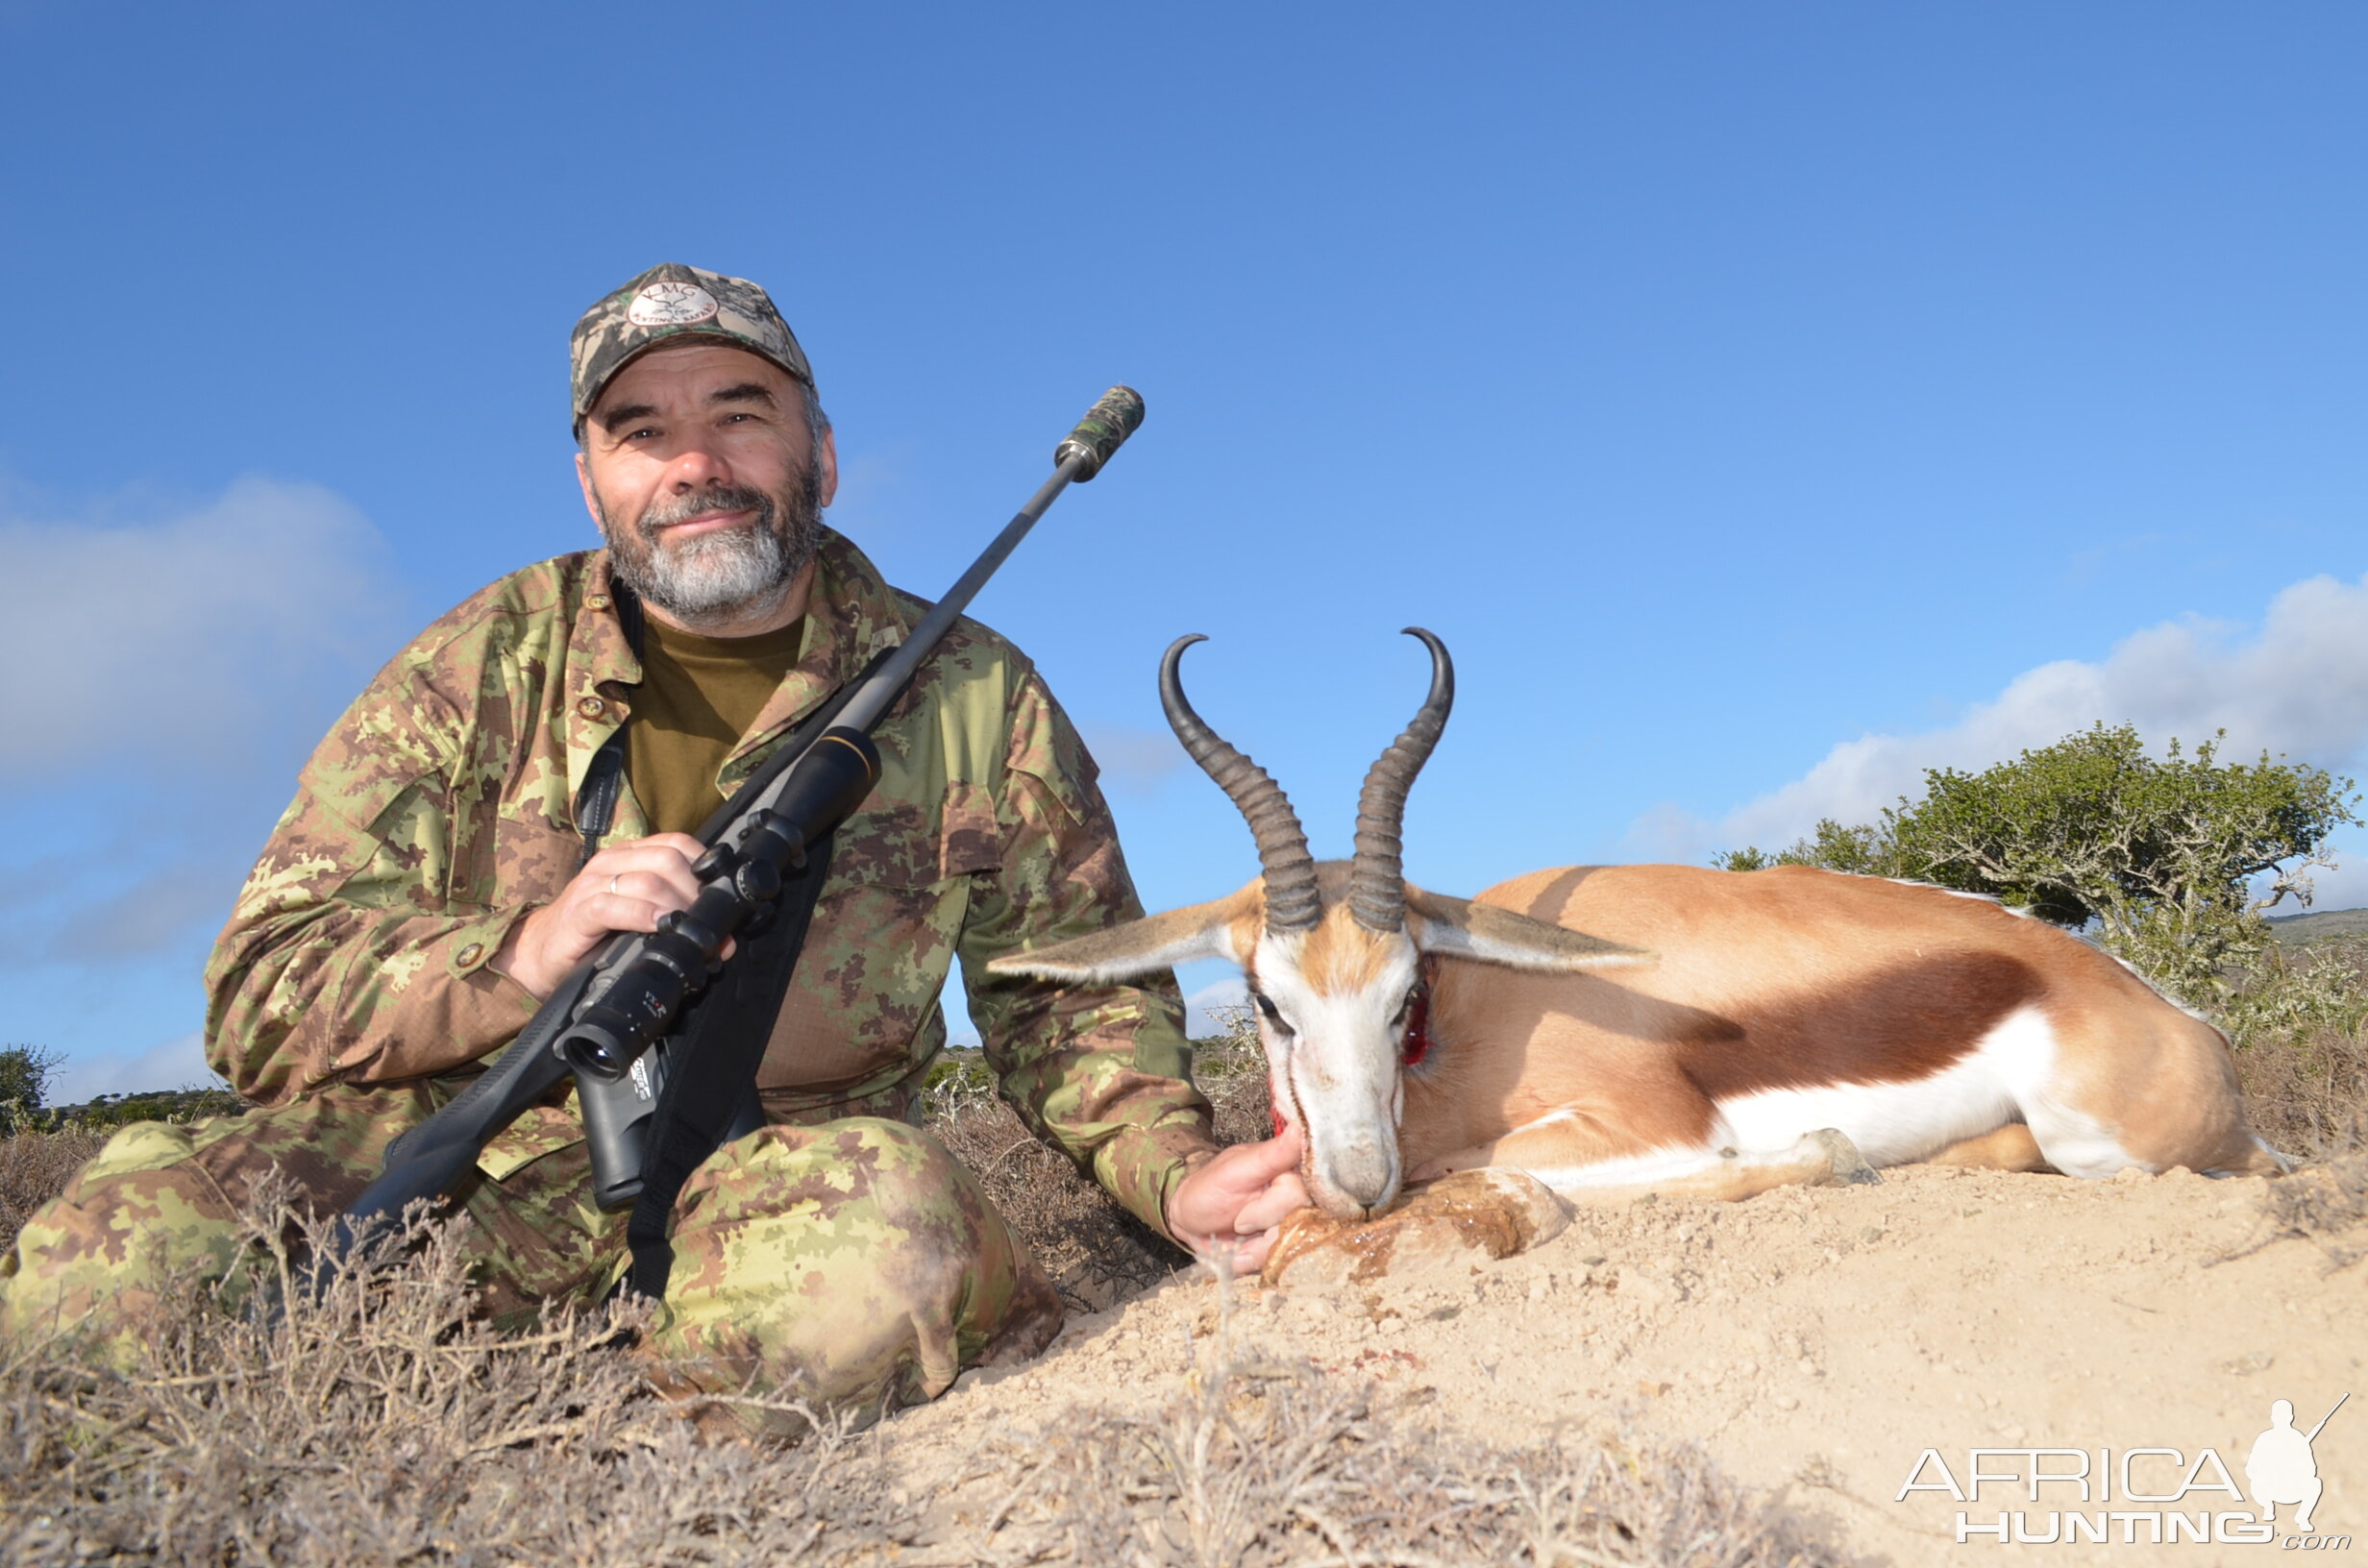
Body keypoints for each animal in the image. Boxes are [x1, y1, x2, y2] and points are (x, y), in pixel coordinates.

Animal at [989, 634, 2282, 1222]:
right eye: (1269, 1002)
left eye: (1405, 995)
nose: (1356, 1184)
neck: (1475, 1027)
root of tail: (2186, 1022)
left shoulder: (1643, 1125)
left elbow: (1493, 1166)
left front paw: (1818, 1153)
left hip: (2108, 1143)